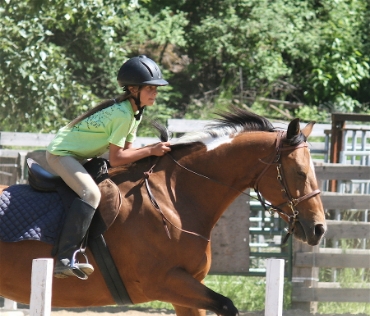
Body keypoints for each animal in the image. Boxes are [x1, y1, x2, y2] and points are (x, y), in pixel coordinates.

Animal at [0, 108, 326, 316]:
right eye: (299, 172)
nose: (319, 229)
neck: (173, 200)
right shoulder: (164, 282)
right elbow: (226, 306)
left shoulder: (186, 291)